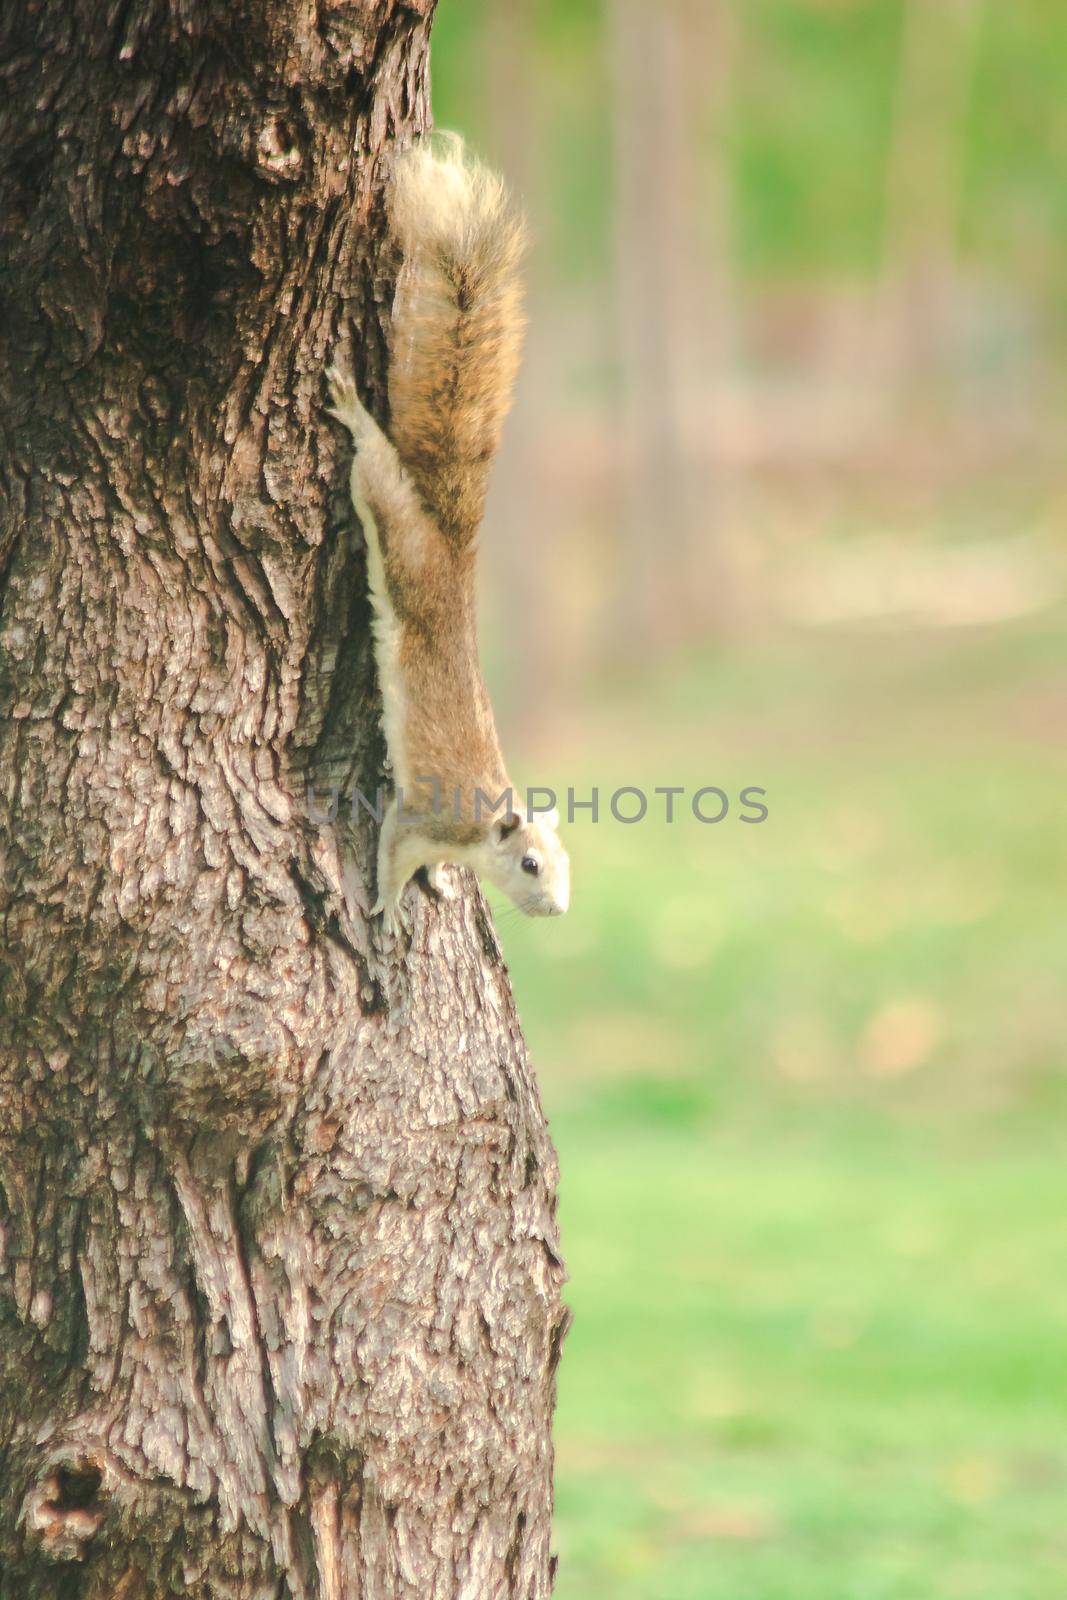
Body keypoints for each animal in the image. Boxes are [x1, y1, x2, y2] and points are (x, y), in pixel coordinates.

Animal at [327, 140, 572, 934]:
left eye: (564, 863)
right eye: (529, 865)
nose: (557, 909)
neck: (478, 832)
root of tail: (451, 544)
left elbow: (425, 866)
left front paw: (433, 884)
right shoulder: (423, 819)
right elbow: (390, 853)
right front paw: (384, 906)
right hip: (398, 533)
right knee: (376, 472)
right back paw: (353, 410)